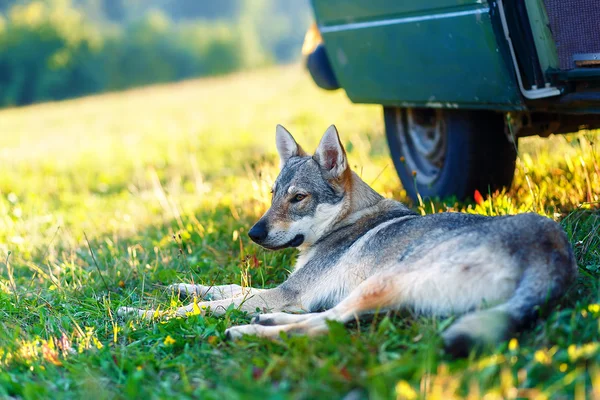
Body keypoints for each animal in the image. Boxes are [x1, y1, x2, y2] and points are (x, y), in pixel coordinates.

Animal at [118, 123, 580, 354]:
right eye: (273, 195)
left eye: (298, 198)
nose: (253, 233)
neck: (346, 221)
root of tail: (553, 253)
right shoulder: (284, 291)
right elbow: (222, 288)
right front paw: (176, 287)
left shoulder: (288, 292)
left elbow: (207, 306)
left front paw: (140, 314)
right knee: (329, 323)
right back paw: (265, 325)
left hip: (381, 282)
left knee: (327, 324)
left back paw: (250, 332)